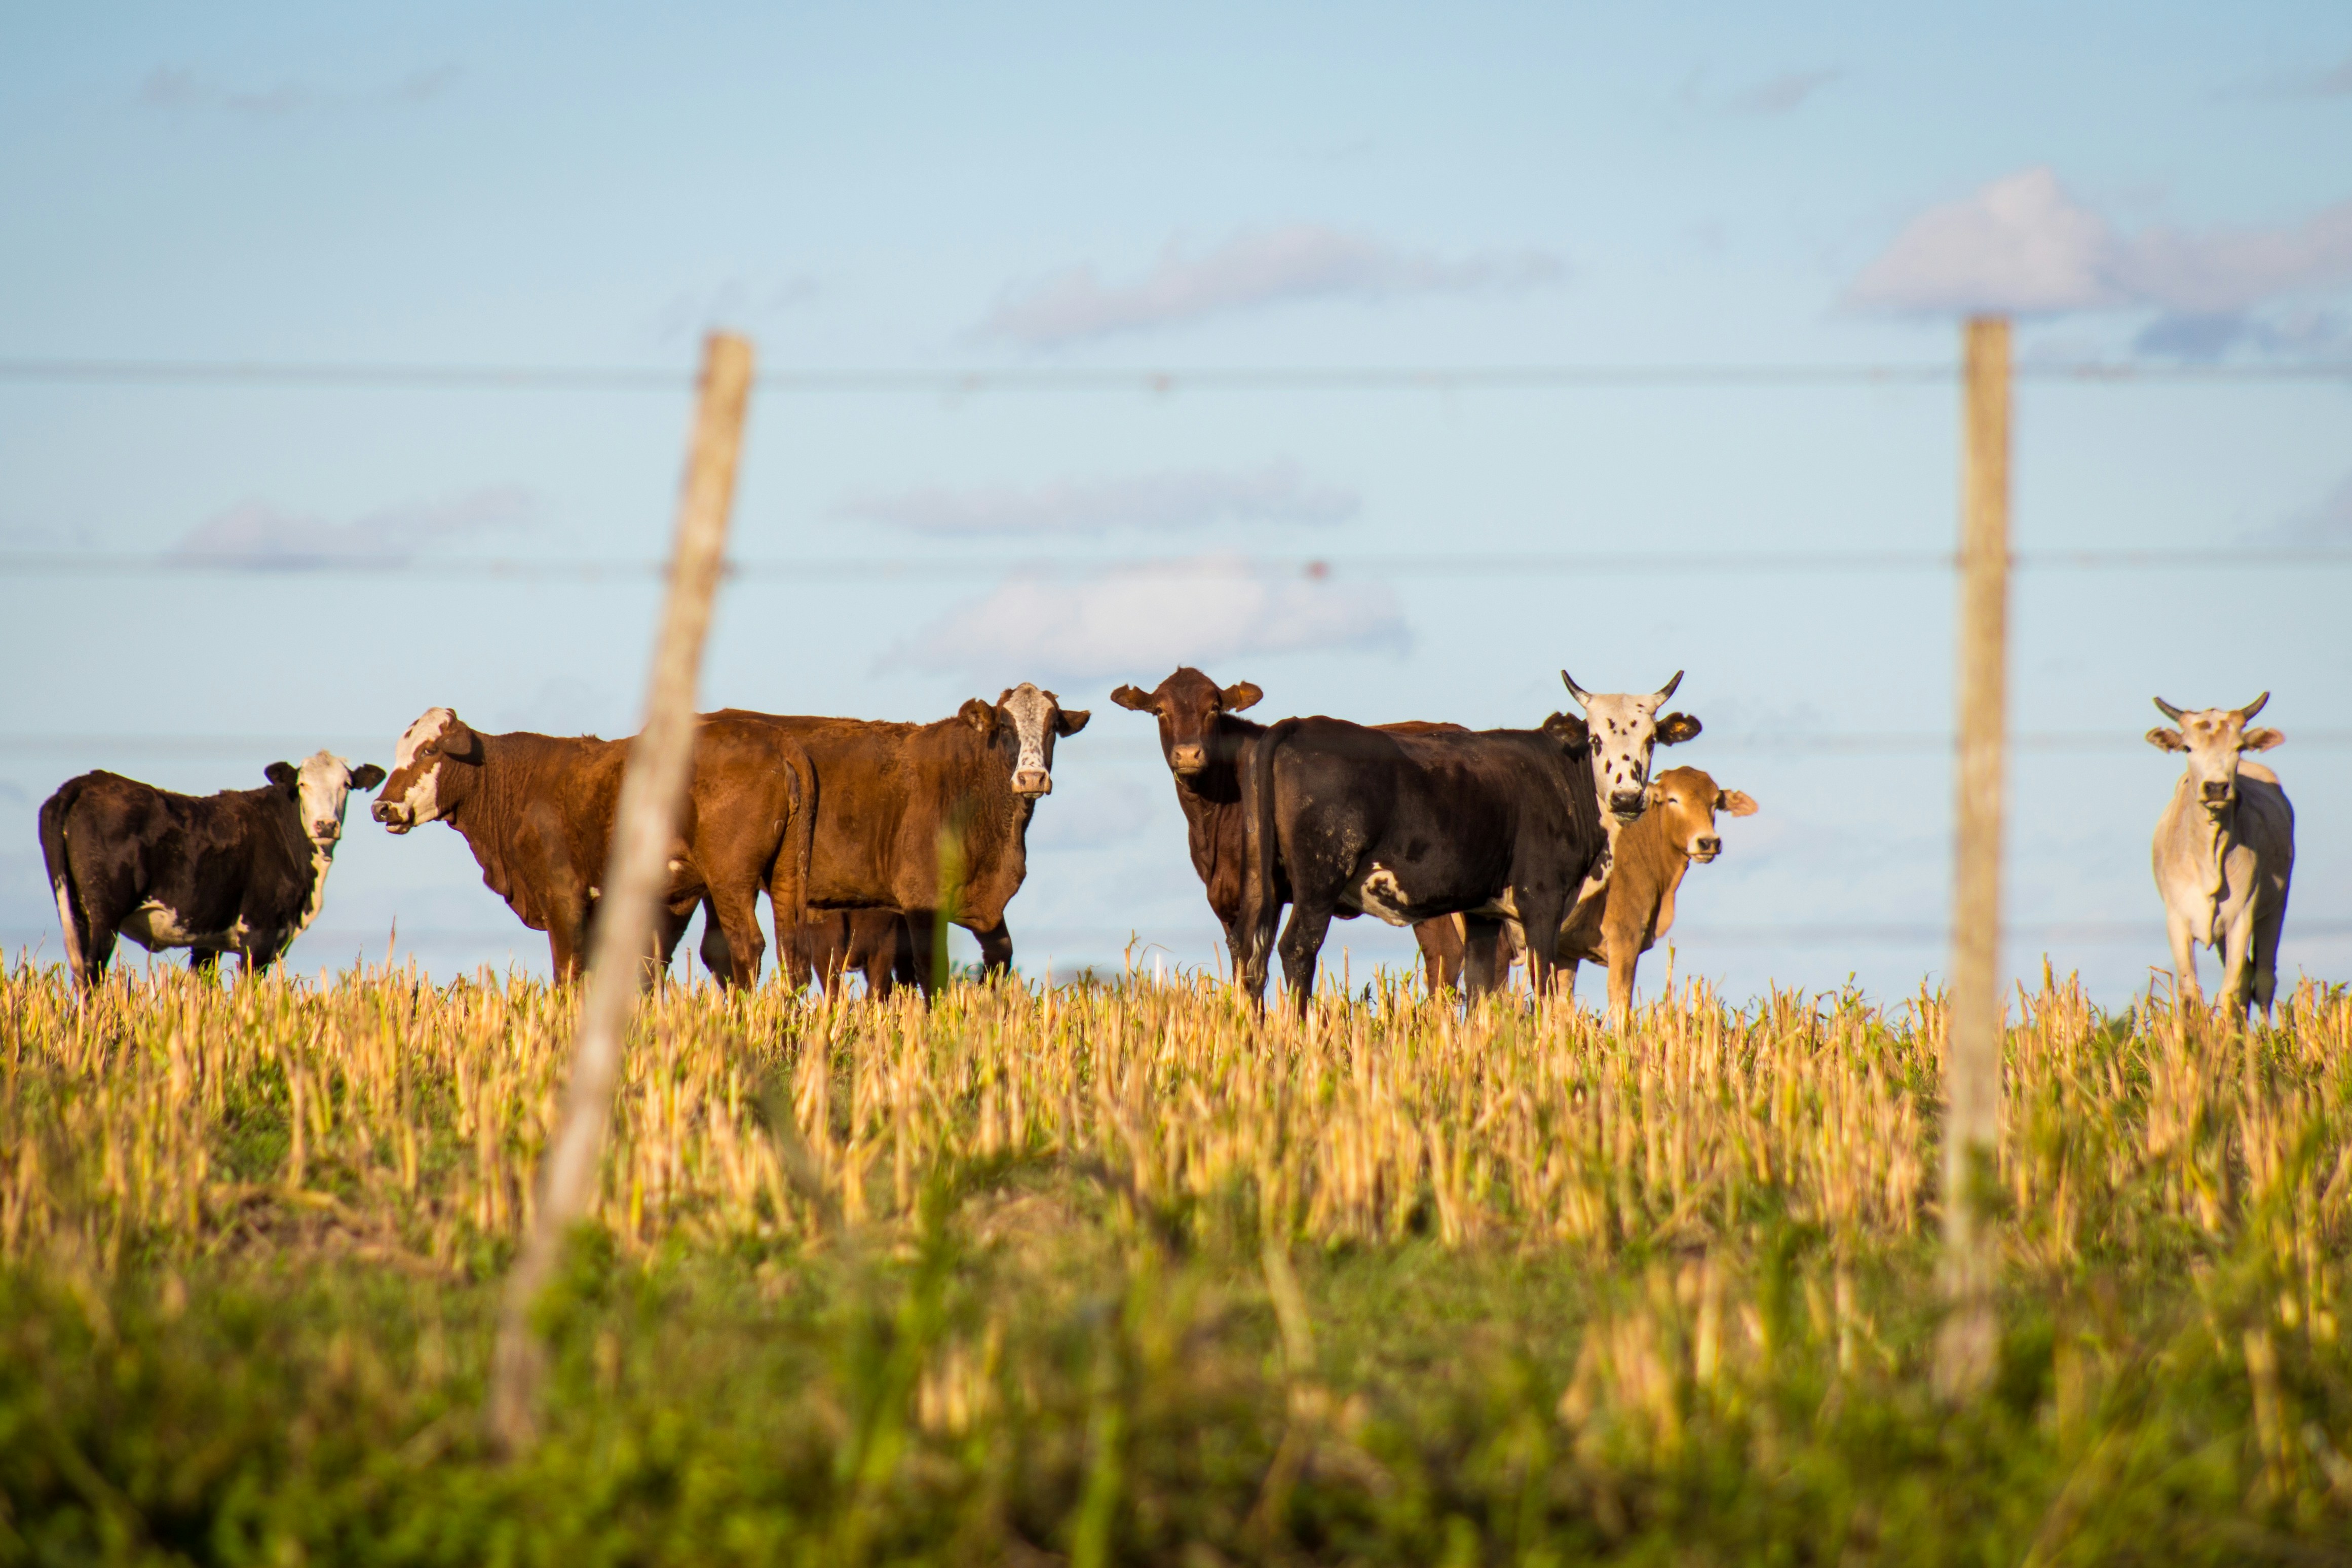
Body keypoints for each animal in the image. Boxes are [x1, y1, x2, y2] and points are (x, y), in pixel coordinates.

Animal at [40, 752, 386, 988]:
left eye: (347, 785)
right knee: (91, 972)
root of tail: (84, 782)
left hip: (72, 906)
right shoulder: (260, 936)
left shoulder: (207, 940)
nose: (326, 825)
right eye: (303, 783)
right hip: (105, 913)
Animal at [370, 707, 814, 984]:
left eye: (429, 750)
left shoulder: (562, 894)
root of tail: (779, 739)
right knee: (792, 953)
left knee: (747, 946)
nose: (382, 807)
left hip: (729, 880)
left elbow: (568, 968)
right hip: (786, 873)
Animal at [698, 683, 1087, 996]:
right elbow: (930, 972)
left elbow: (1000, 959)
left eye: (1052, 727)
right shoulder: (922, 898)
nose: (1032, 777)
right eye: (1006, 726)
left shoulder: (984, 907)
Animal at [1237, 715, 1608, 1017]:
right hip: (1321, 880)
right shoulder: (1543, 900)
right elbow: (1544, 979)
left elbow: (1481, 980)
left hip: (1265, 885)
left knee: (1253, 955)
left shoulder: (1485, 911)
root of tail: (1300, 724)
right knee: (1298, 946)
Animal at [2146, 693, 2294, 1019]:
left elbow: (2230, 992)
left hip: (2274, 910)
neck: (2206, 859)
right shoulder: (2177, 921)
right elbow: (2191, 992)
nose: (2215, 787)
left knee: (2262, 978)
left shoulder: (2240, 920)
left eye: (2238, 747)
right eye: (2187, 747)